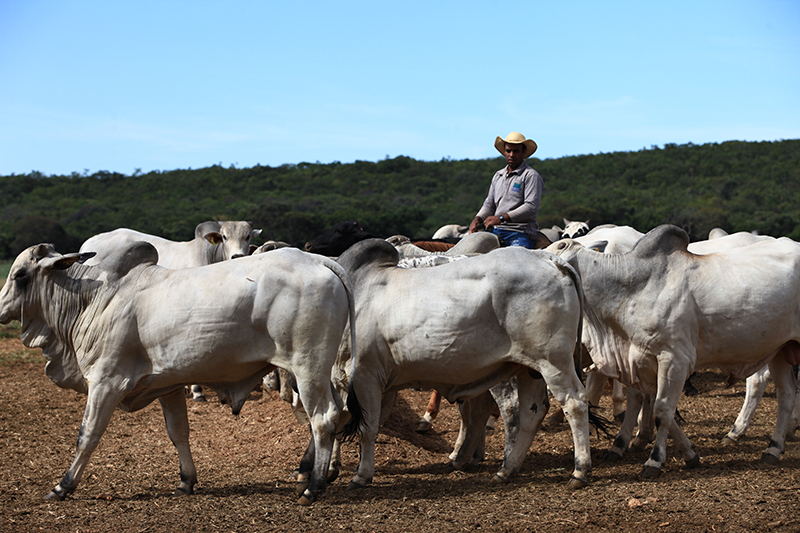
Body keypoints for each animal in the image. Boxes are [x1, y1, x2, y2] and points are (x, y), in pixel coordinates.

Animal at [0, 241, 356, 502]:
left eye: (19, 275)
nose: (0, 310)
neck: (95, 300)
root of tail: (318, 261)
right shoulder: (168, 386)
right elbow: (178, 433)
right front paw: (186, 481)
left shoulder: (106, 382)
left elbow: (87, 436)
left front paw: (63, 485)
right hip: (313, 372)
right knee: (337, 413)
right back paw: (311, 472)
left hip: (307, 367)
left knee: (322, 418)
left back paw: (313, 486)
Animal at [338, 240, 592, 490]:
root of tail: (548, 258)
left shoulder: (365, 375)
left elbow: (365, 426)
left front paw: (359, 475)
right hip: (530, 368)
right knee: (532, 412)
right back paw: (506, 470)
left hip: (554, 363)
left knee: (574, 403)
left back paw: (579, 471)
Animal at [548, 223, 800, 474]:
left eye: (556, 249)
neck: (632, 284)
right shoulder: (640, 360)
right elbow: (649, 403)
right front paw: (683, 451)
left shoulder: (674, 359)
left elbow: (662, 410)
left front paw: (655, 459)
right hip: (780, 350)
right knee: (786, 394)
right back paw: (773, 447)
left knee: (762, 384)